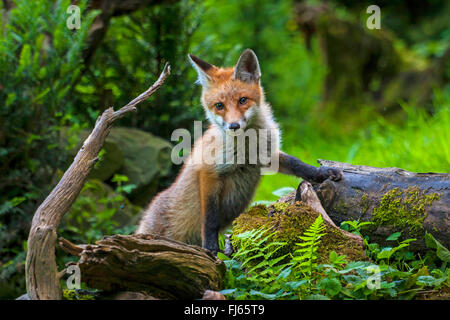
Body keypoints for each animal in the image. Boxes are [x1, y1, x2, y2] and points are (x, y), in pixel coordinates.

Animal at [136, 48, 342, 254]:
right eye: (219, 106)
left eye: (243, 100)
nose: (234, 125)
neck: (247, 148)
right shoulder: (208, 172)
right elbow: (210, 218)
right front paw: (210, 247)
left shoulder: (267, 156)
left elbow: (297, 163)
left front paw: (323, 172)